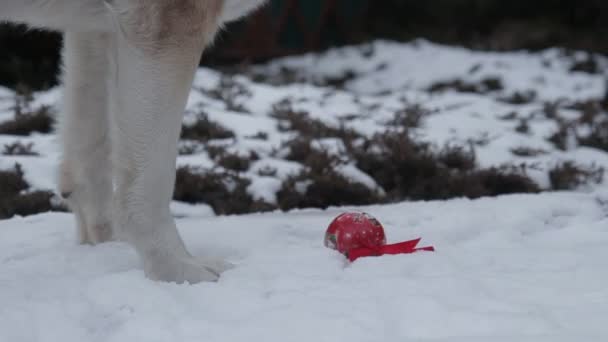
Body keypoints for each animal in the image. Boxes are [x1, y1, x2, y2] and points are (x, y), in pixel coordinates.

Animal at [1, 0, 266, 284]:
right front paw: (177, 268)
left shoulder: (97, 30)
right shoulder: (164, 23)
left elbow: (88, 160)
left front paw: (104, 247)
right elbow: (152, 184)